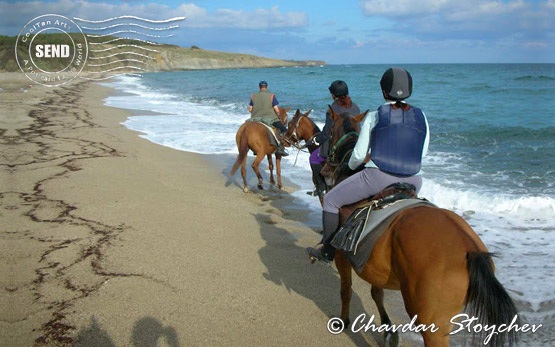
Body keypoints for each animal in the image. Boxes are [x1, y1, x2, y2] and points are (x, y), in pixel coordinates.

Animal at [322, 108, 520, 347]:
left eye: (328, 129)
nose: (325, 169)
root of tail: (470, 249)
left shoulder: (342, 256)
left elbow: (346, 290)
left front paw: (343, 320)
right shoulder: (371, 263)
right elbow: (376, 292)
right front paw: (388, 330)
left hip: (432, 325)